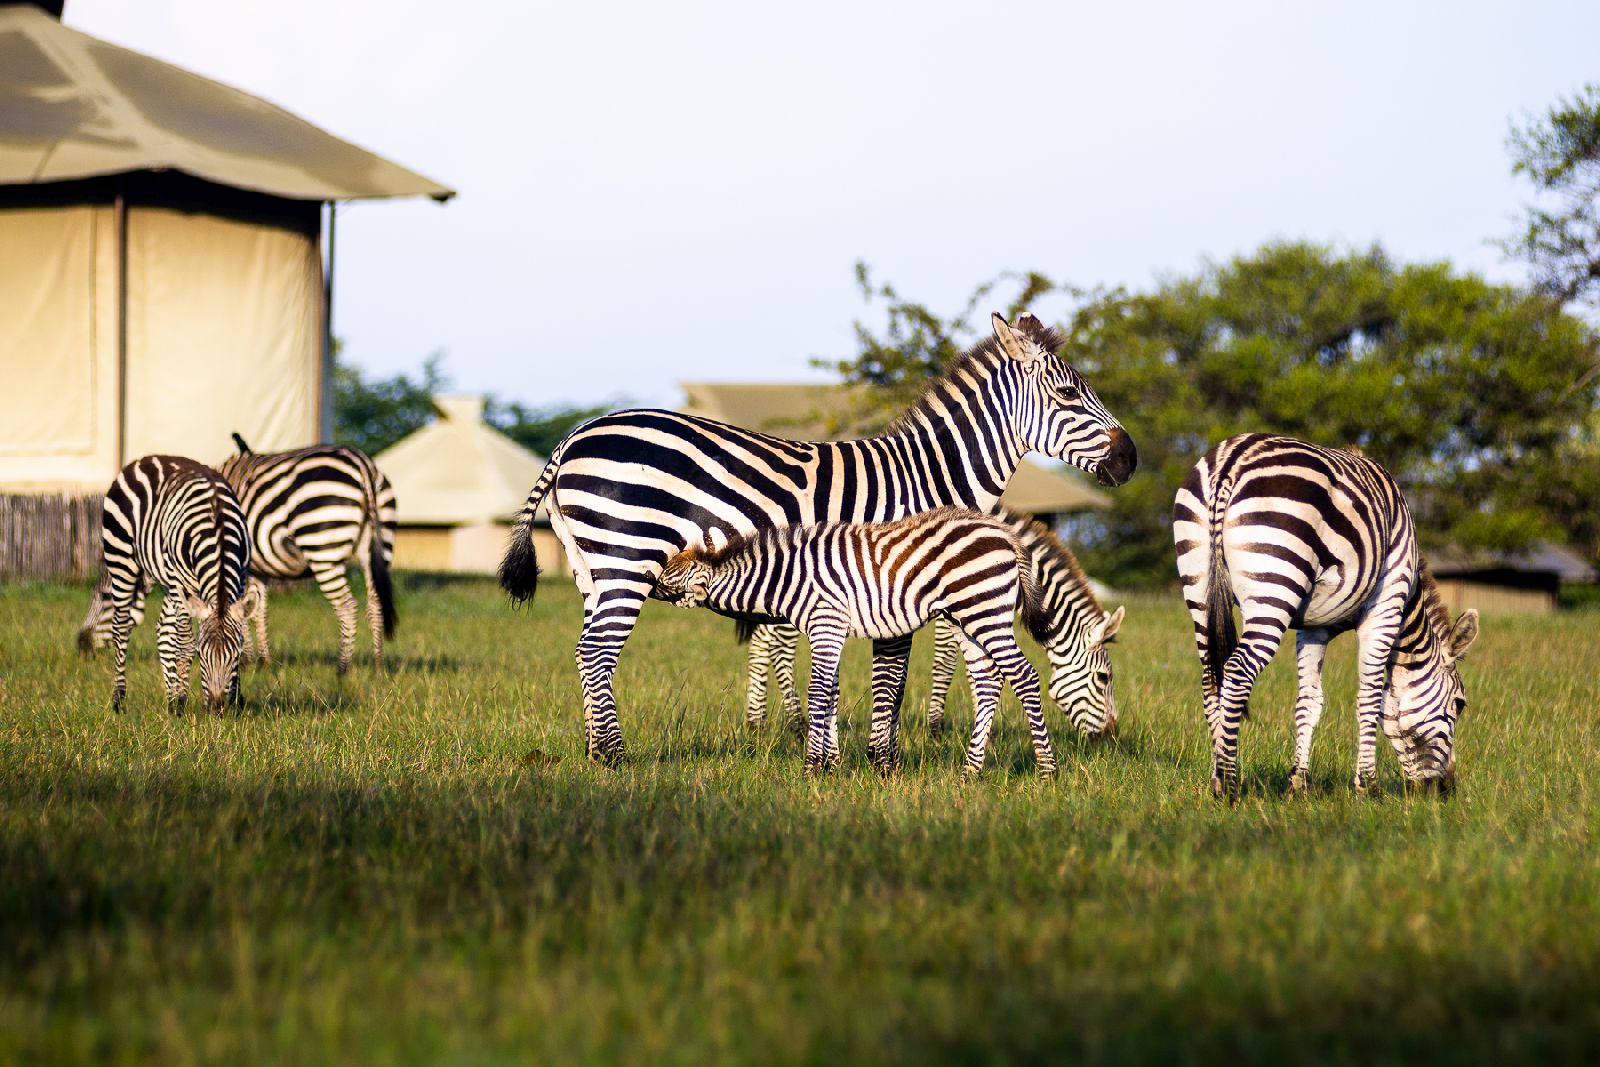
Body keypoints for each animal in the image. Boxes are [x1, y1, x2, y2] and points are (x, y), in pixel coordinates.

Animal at [99, 454, 258, 712]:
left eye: (235, 656)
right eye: (201, 656)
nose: (217, 708)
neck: (219, 528)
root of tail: (144, 459)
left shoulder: (241, 578)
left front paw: (237, 699)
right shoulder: (181, 582)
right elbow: (183, 644)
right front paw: (182, 700)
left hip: (166, 579)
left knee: (163, 630)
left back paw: (170, 699)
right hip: (123, 560)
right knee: (121, 628)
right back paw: (120, 700)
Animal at [656, 508, 1057, 778]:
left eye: (665, 577)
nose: (646, 571)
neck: (786, 578)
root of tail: (1005, 534)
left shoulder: (826, 622)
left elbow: (818, 694)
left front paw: (810, 768)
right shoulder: (828, 631)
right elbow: (831, 693)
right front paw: (829, 766)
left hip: (985, 610)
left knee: (1024, 677)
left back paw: (1047, 770)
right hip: (966, 619)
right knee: (988, 683)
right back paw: (970, 772)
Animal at [743, 507, 1124, 742]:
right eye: (1103, 679)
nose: (1111, 737)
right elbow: (947, 662)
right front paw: (937, 728)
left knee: (763, 643)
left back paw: (757, 722)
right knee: (778, 647)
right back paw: (792, 722)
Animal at [1171, 433, 1480, 800]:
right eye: (1459, 704)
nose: (1444, 789)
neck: (1409, 607)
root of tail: (1232, 460)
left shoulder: (1313, 629)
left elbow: (1310, 700)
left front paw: (1298, 783)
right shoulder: (1385, 607)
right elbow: (1370, 696)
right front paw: (1367, 785)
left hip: (1199, 585)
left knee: (1210, 678)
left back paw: (1215, 773)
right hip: (1275, 586)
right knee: (1237, 670)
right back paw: (1228, 783)